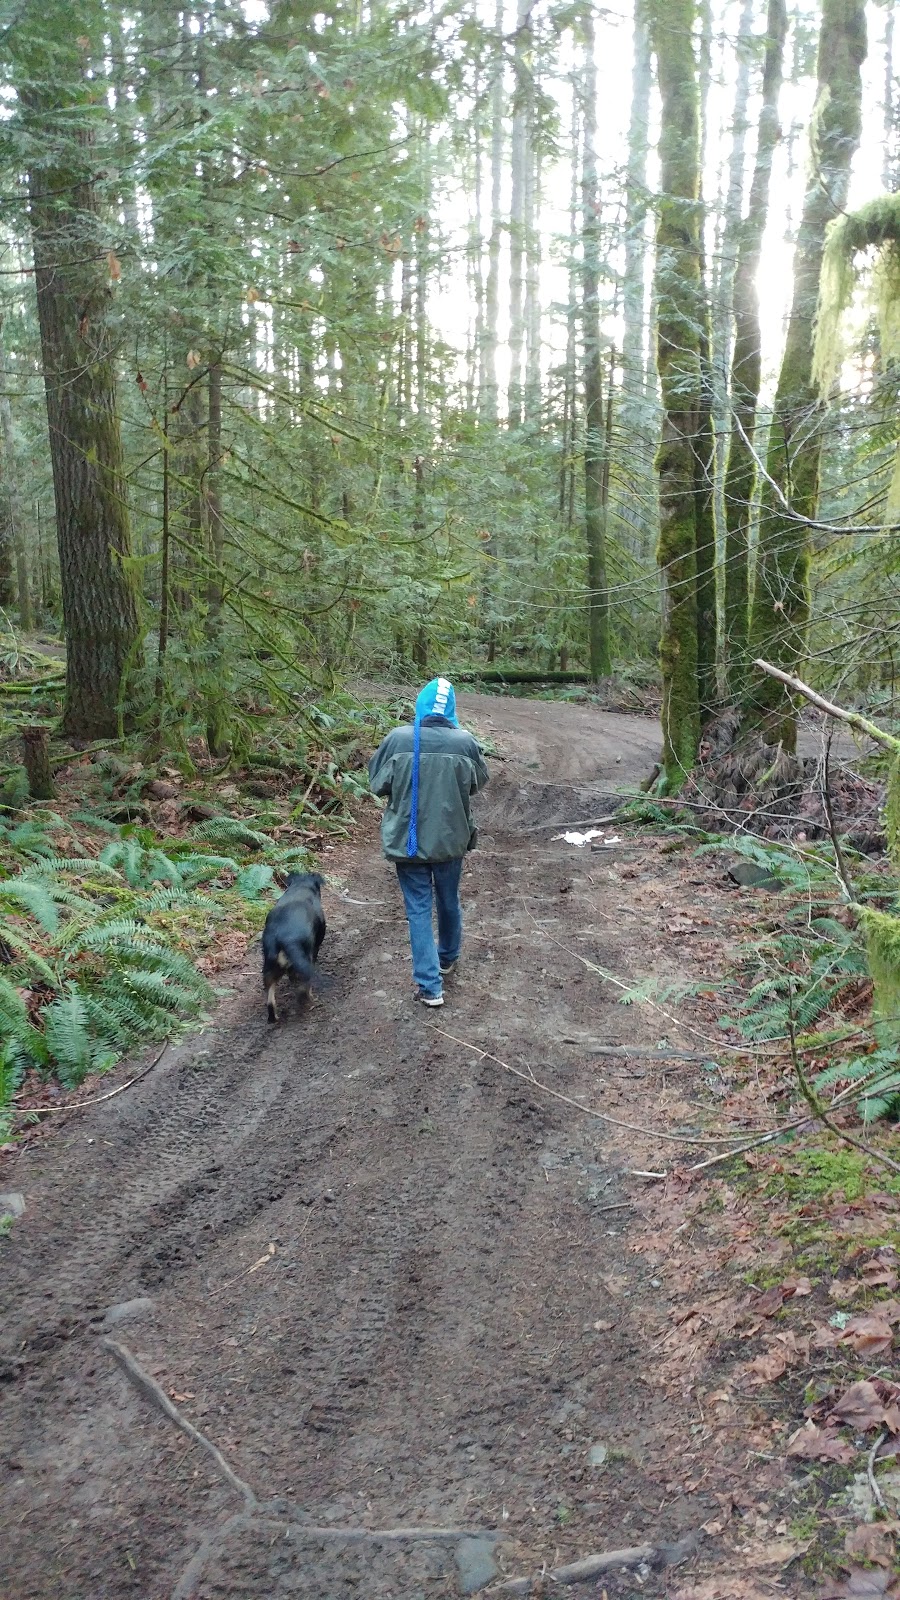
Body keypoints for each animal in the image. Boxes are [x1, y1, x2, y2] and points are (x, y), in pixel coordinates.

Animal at [259, 876, 325, 1024]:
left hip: (269, 968)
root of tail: (283, 938)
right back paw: (307, 1002)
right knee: (304, 987)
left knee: (270, 1000)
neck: (301, 887)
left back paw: (273, 1018)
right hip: (305, 959)